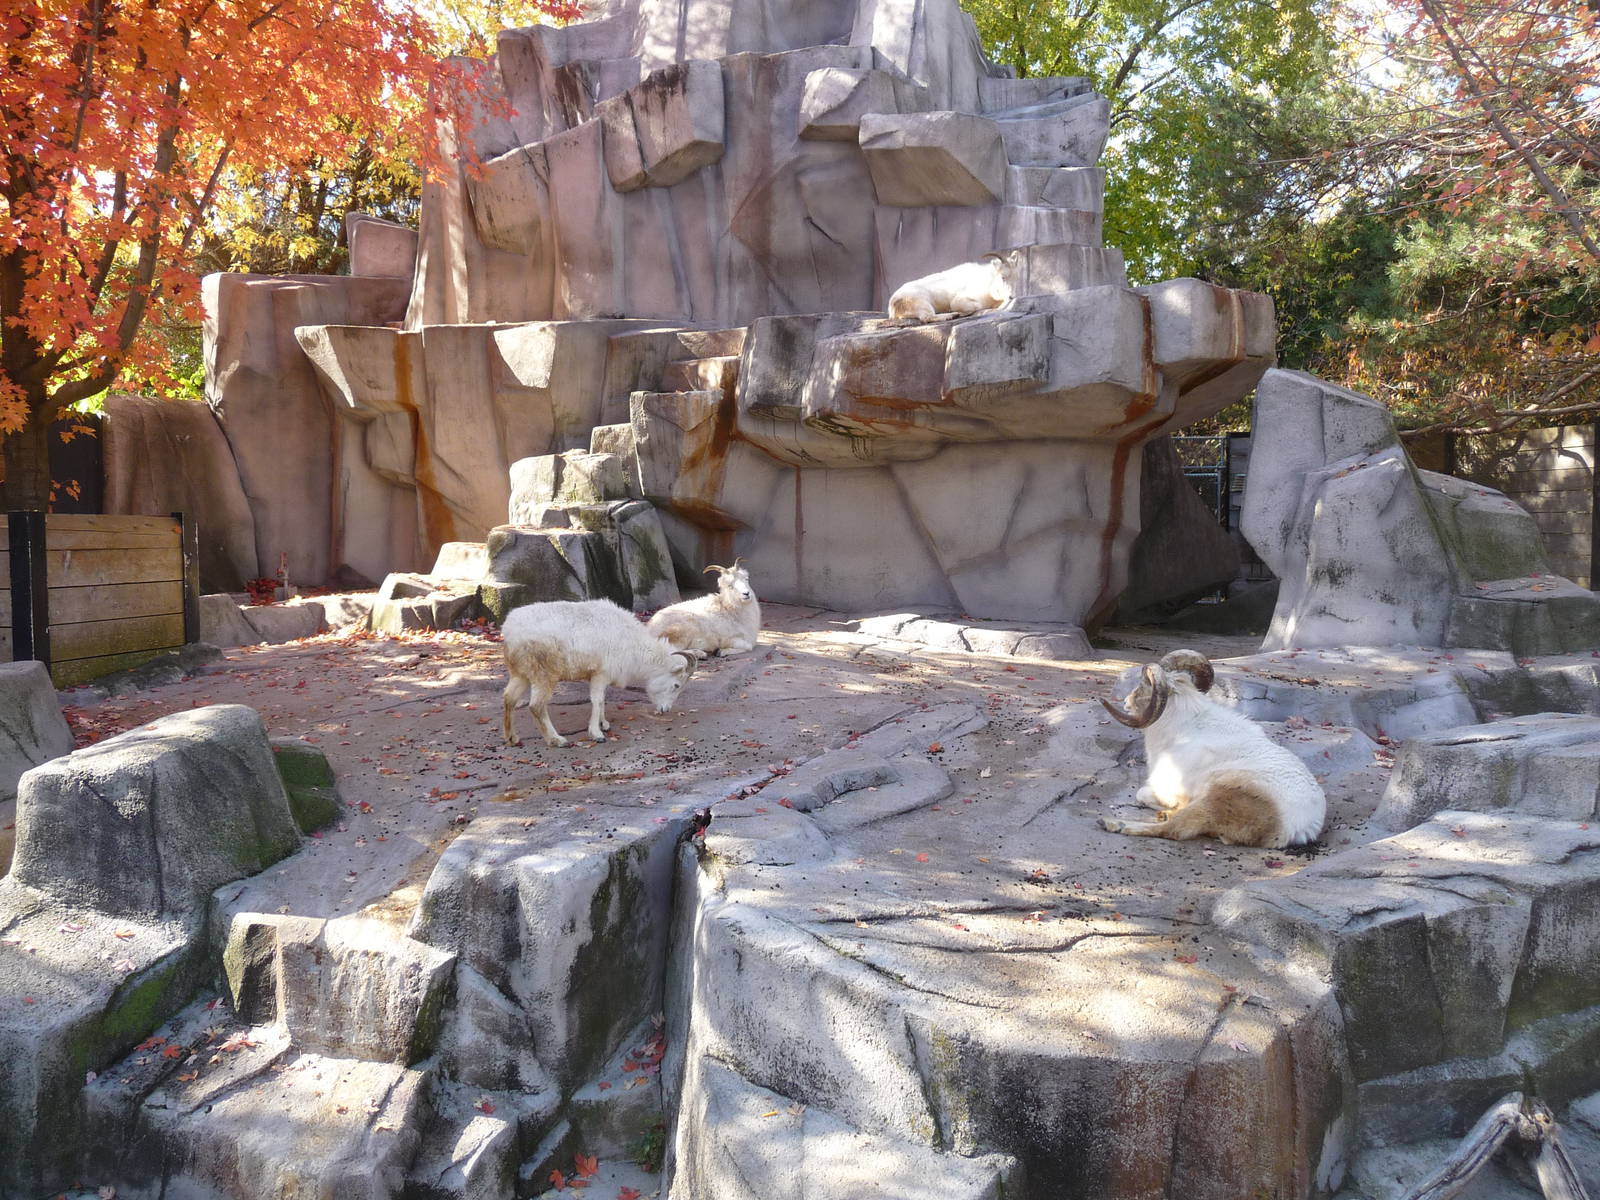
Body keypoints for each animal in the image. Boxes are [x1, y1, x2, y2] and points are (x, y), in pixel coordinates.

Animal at [501, 599, 696, 747]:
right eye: (676, 685)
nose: (665, 710)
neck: (632, 643)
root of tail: (510, 631)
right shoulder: (600, 675)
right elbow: (596, 701)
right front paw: (597, 734)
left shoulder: (600, 677)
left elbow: (602, 700)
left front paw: (605, 725)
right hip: (543, 676)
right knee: (536, 706)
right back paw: (557, 740)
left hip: (520, 674)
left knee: (509, 698)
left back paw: (512, 738)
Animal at [1097, 649, 1326, 848]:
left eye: (1145, 684)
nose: (1126, 702)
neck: (1181, 729)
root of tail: (1295, 826)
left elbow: (1143, 794)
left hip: (1212, 799)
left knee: (1173, 830)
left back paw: (1113, 824)